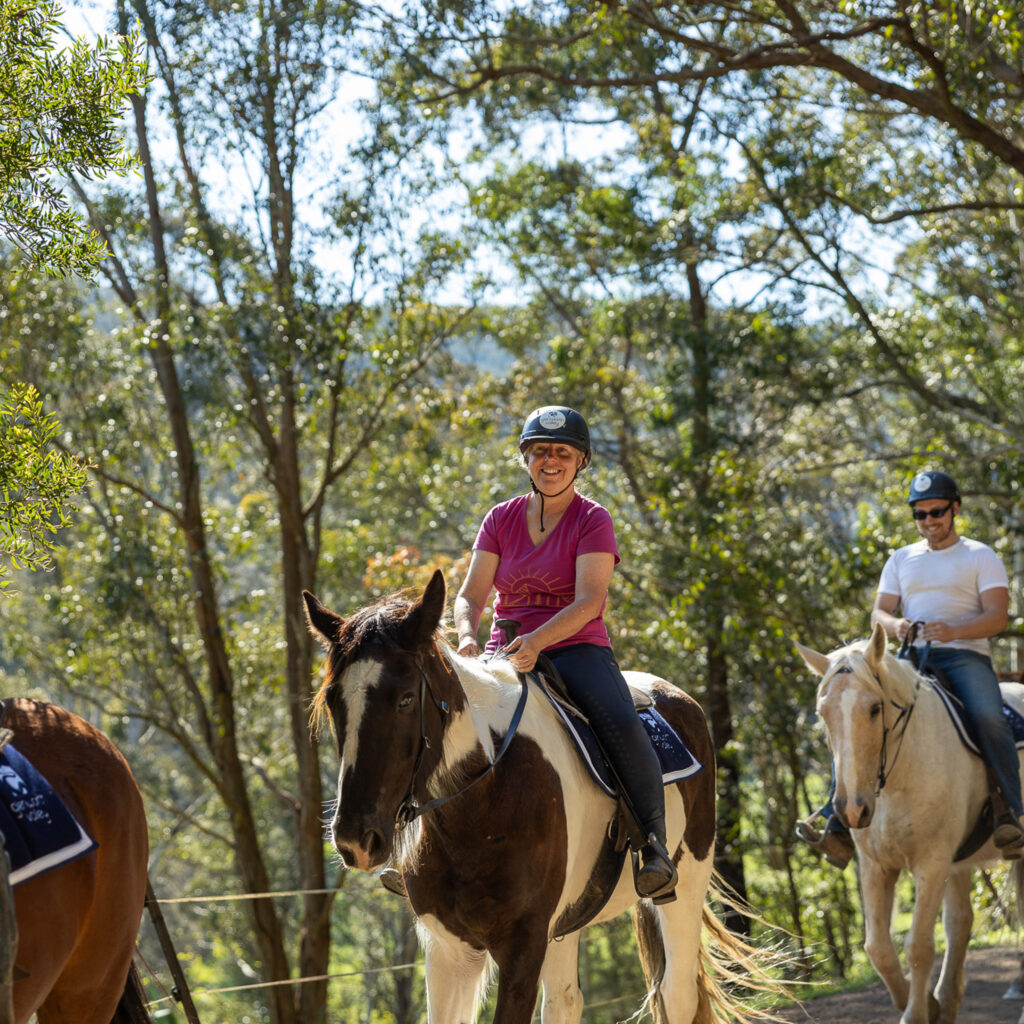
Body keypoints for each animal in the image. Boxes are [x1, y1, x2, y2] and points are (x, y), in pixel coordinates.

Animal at [306, 568, 781, 1024]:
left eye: (405, 699)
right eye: (332, 702)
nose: (355, 839)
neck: (480, 806)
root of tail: (679, 697)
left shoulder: (523, 946)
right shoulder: (449, 949)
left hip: (686, 884)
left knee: (676, 995)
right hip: (565, 927)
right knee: (566, 1002)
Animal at [796, 623, 1024, 1024]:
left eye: (875, 708)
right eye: (823, 713)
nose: (851, 811)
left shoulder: (931, 863)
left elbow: (918, 945)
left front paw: (917, 1013)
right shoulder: (875, 866)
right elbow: (878, 948)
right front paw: (927, 1005)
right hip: (958, 864)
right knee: (960, 923)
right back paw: (947, 1001)